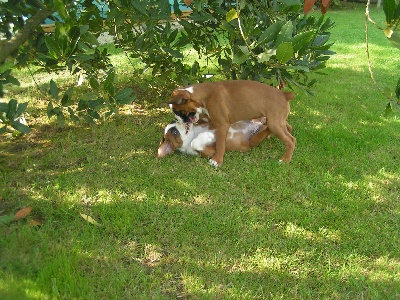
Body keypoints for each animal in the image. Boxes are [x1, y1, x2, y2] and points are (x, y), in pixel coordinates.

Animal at [167, 80, 296, 166]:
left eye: (178, 112)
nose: (177, 120)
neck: (205, 95)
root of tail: (284, 94)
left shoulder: (222, 125)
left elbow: (220, 144)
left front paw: (217, 160)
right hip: (278, 121)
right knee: (288, 127)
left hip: (274, 123)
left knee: (290, 140)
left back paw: (285, 159)